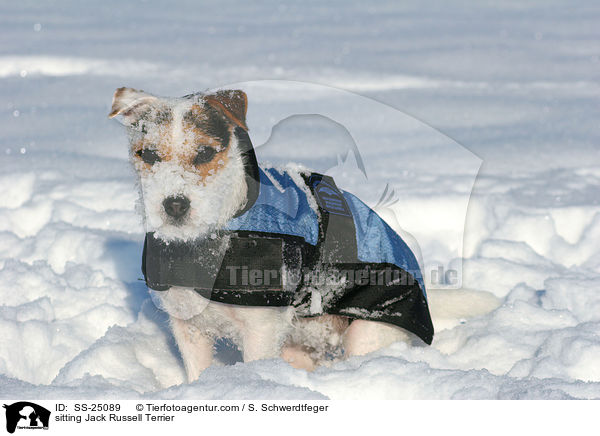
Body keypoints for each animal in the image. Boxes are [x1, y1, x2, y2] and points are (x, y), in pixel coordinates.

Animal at [109, 87, 436, 380]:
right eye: (147, 154)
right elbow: (196, 371)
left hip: (369, 331)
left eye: (204, 153)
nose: (174, 205)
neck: (208, 240)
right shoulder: (188, 325)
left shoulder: (261, 329)